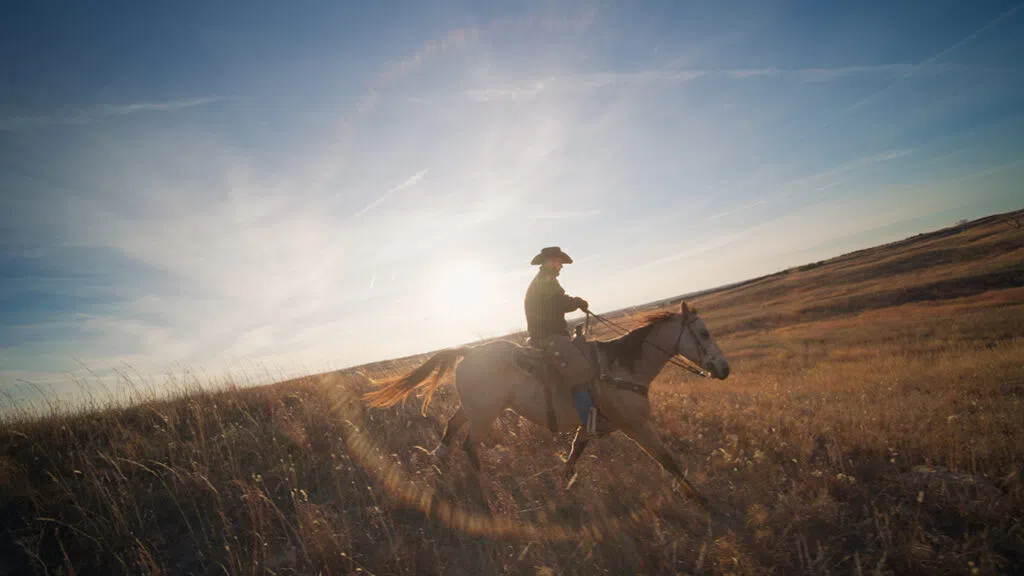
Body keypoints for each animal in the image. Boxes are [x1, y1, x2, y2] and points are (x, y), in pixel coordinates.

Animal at [360, 301, 729, 506]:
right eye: (704, 333)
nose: (723, 368)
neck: (623, 369)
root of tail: (467, 352)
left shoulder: (592, 427)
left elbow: (573, 457)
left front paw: (564, 488)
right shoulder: (636, 425)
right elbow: (669, 461)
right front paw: (700, 498)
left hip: (474, 409)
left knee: (451, 429)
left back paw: (437, 460)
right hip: (485, 414)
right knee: (469, 444)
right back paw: (487, 489)